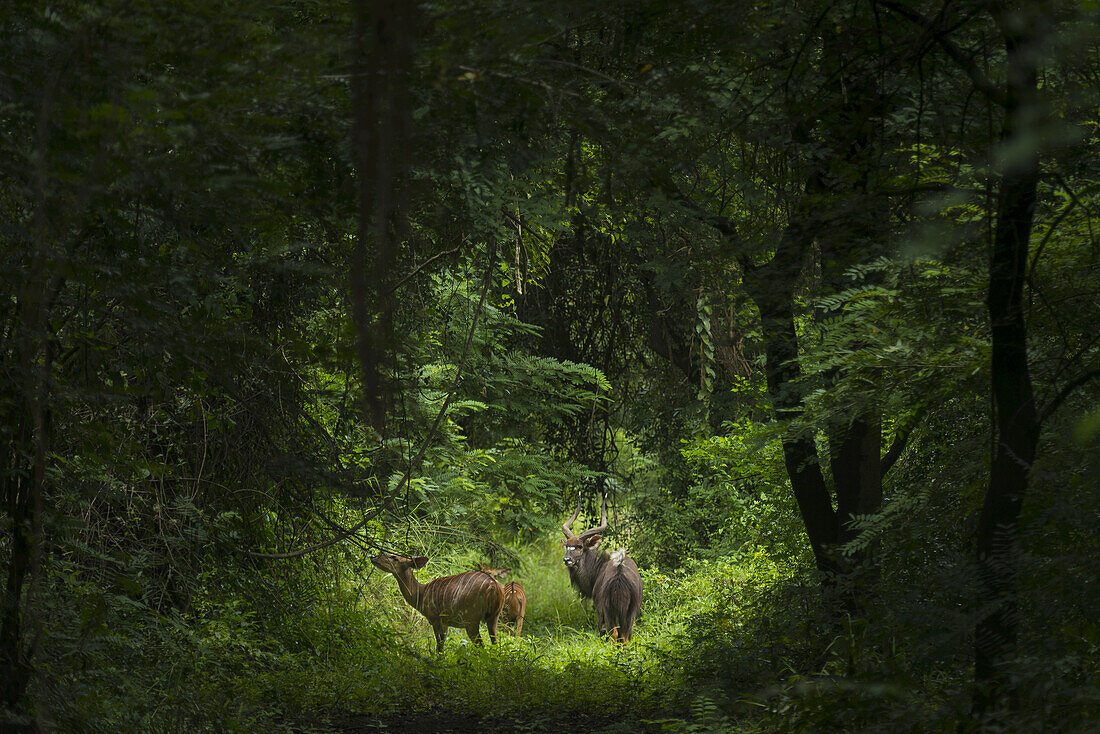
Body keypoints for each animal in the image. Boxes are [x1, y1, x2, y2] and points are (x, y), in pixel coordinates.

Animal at [371, 554, 503, 651]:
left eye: (394, 557)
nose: (373, 557)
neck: (421, 594)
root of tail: (493, 586)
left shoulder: (434, 618)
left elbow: (439, 646)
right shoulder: (445, 622)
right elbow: (442, 644)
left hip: (471, 618)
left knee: (481, 646)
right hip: (494, 617)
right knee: (495, 644)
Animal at [563, 493, 642, 642]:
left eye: (580, 546)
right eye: (567, 545)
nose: (567, 559)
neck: (598, 567)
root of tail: (620, 577)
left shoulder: (599, 608)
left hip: (607, 609)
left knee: (614, 634)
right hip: (631, 611)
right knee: (625, 635)